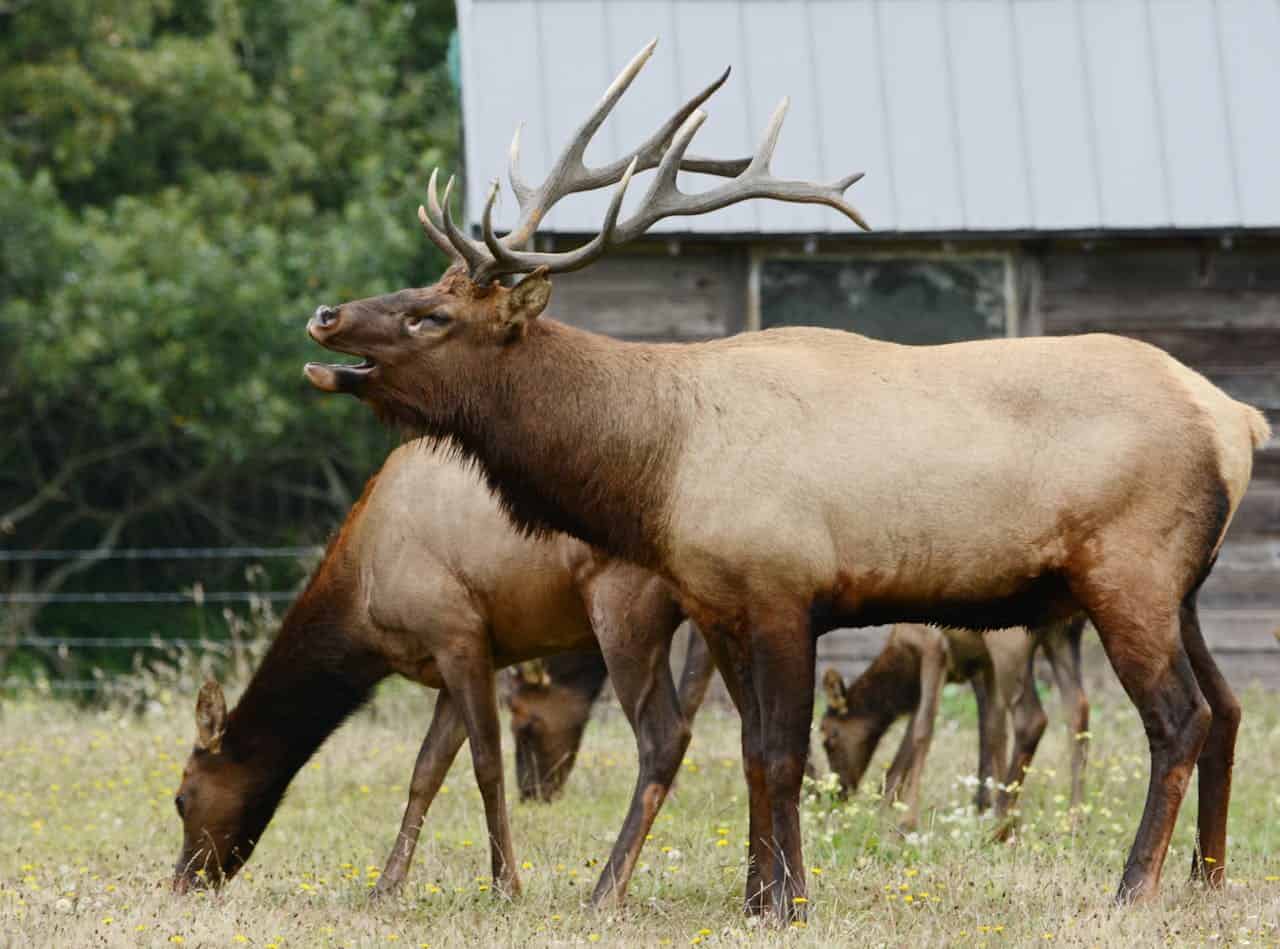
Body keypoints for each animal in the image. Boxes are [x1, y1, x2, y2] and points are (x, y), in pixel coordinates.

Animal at [820, 617, 1089, 834]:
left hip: (1010, 644)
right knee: (1078, 711)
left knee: (1032, 719)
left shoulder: (933, 647)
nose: (837, 794)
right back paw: (1072, 820)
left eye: (829, 737)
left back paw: (1001, 825)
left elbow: (922, 731)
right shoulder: (982, 664)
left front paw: (905, 821)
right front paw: (882, 807)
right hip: (1062, 636)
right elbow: (995, 731)